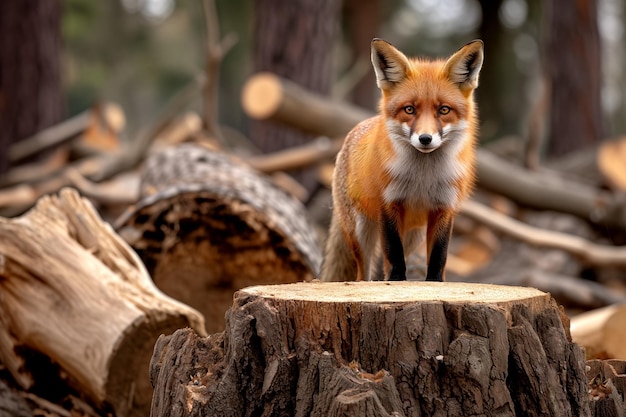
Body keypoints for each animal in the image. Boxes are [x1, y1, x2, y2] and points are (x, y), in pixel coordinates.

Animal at [320, 39, 480, 282]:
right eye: (409, 109)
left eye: (444, 110)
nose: (425, 139)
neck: (423, 178)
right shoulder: (388, 204)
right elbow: (394, 254)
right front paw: (396, 282)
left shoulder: (444, 207)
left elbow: (439, 255)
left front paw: (435, 283)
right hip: (360, 231)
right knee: (363, 273)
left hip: (413, 234)